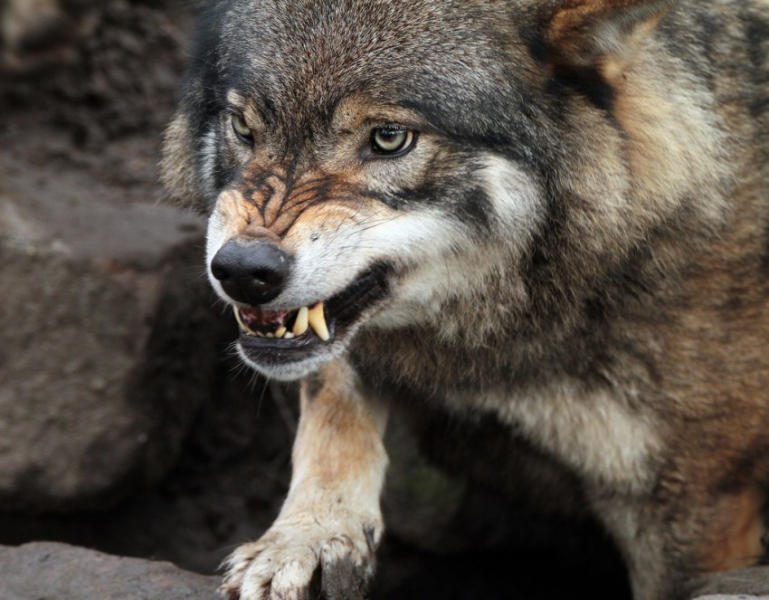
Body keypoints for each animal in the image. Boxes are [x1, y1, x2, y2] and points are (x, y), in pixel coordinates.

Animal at [160, 0, 768, 596]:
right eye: (243, 126)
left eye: (389, 138)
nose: (243, 271)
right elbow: (332, 403)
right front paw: (306, 539)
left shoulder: (699, 502)